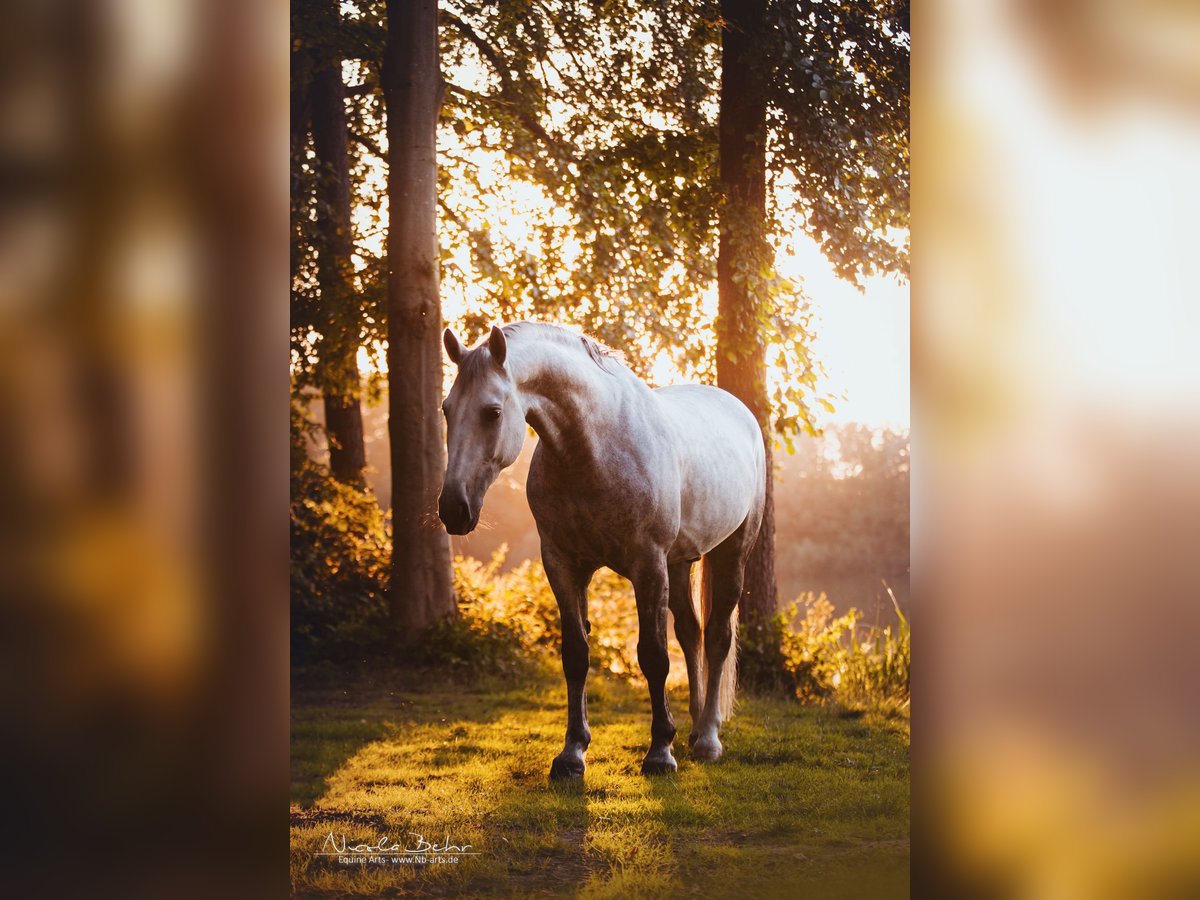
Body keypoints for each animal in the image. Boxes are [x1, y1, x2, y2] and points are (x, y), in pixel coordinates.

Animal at [436, 324, 763, 782]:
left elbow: (653, 656)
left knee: (716, 636)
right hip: (680, 563)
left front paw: (660, 752)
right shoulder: (563, 565)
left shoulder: (648, 565)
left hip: (732, 552)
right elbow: (576, 655)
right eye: (446, 409)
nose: (453, 509)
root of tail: (739, 410)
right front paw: (572, 754)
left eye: (493, 412)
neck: (596, 446)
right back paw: (697, 728)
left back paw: (709, 739)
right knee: (691, 632)